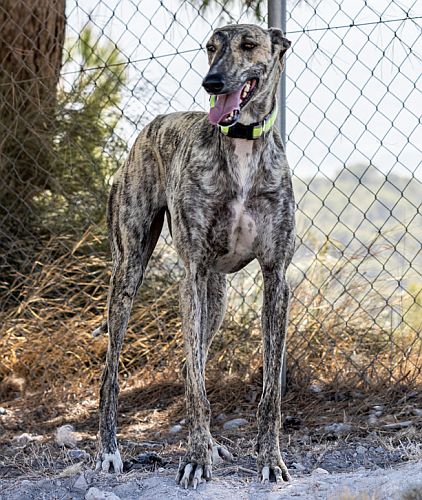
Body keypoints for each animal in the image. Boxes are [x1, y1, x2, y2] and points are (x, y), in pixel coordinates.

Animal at [95, 23, 295, 489]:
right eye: (210, 47)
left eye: (248, 45)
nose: (211, 83)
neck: (242, 149)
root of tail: (150, 125)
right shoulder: (191, 274)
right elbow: (196, 390)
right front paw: (194, 459)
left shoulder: (276, 276)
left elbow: (269, 391)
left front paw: (270, 459)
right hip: (129, 272)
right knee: (113, 373)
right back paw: (110, 450)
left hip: (215, 298)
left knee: (195, 361)